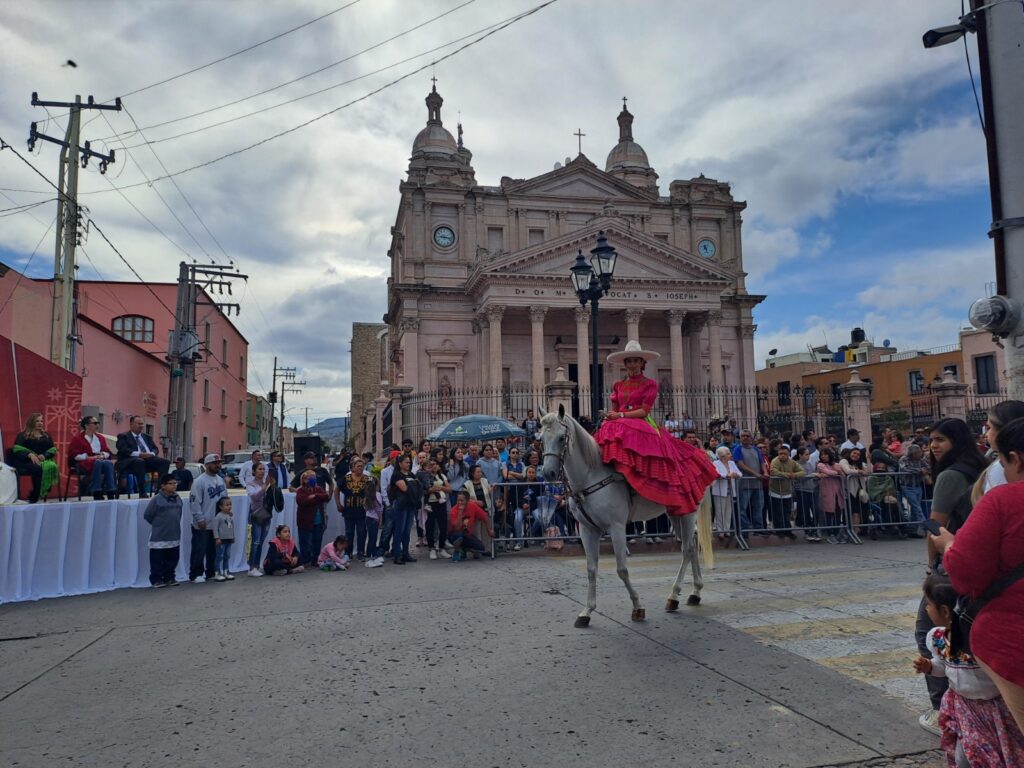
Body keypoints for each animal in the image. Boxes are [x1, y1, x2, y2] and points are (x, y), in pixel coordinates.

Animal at [540, 405, 708, 626]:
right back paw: (695, 592)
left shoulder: (617, 527)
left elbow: (621, 569)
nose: (548, 473)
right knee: (692, 543)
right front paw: (586, 611)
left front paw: (637, 607)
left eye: (561, 438)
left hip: (688, 511)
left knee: (687, 549)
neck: (590, 476)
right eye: (541, 438)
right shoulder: (587, 529)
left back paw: (674, 596)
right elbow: (591, 569)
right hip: (676, 512)